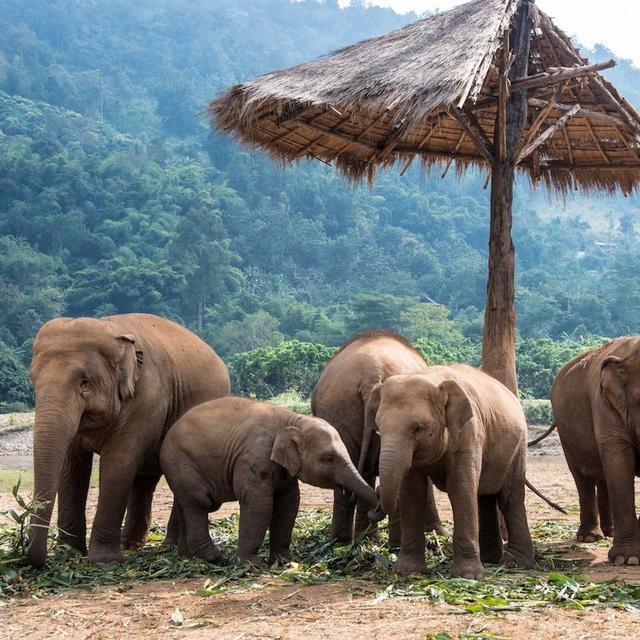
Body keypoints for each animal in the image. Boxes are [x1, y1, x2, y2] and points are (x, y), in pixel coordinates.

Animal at [28, 313, 230, 568]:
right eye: (33, 380)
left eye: (85, 382)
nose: (37, 562)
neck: (112, 329)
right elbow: (72, 467)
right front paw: (70, 554)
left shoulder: (147, 399)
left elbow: (118, 463)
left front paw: (103, 561)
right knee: (145, 479)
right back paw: (131, 545)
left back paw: (168, 547)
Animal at [159, 396, 378, 564]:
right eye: (328, 458)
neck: (294, 419)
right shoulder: (254, 459)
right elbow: (259, 504)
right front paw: (251, 563)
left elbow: (289, 503)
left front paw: (285, 560)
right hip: (181, 464)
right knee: (198, 503)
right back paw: (216, 558)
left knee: (184, 504)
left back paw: (187, 556)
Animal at [367, 365, 534, 579]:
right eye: (379, 428)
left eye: (418, 429)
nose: (377, 499)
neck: (431, 377)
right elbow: (412, 493)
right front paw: (407, 571)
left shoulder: (469, 433)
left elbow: (460, 488)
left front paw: (469, 576)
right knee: (484, 496)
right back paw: (489, 559)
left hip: (519, 446)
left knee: (509, 497)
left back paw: (515, 563)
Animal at [550, 337, 640, 565]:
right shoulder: (604, 406)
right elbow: (619, 463)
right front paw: (627, 559)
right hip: (565, 433)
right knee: (583, 478)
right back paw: (590, 537)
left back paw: (609, 532)